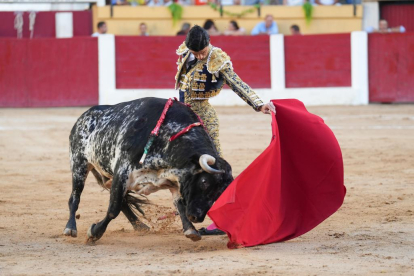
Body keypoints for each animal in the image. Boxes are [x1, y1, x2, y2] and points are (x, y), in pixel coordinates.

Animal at [63, 98, 234, 243]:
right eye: (204, 182)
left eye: (219, 194)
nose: (196, 217)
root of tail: (82, 117)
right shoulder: (122, 171)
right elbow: (113, 208)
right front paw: (94, 233)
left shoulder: (175, 181)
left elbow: (179, 205)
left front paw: (191, 230)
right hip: (79, 164)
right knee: (75, 197)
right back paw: (70, 228)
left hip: (105, 175)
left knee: (122, 201)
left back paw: (140, 226)